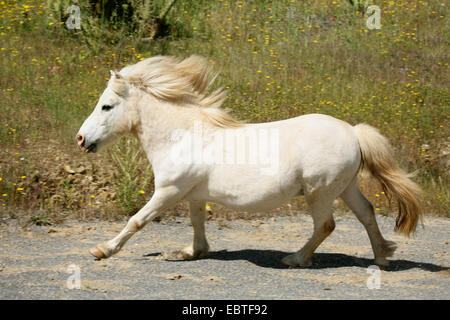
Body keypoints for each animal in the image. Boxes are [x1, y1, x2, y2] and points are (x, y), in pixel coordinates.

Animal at [75, 55, 424, 268]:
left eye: (106, 106)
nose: (80, 139)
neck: (182, 135)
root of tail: (352, 131)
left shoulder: (169, 191)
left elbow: (137, 220)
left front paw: (103, 249)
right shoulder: (194, 194)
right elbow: (196, 222)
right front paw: (191, 252)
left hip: (320, 192)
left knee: (326, 225)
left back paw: (295, 259)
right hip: (345, 186)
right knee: (367, 214)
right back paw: (382, 258)